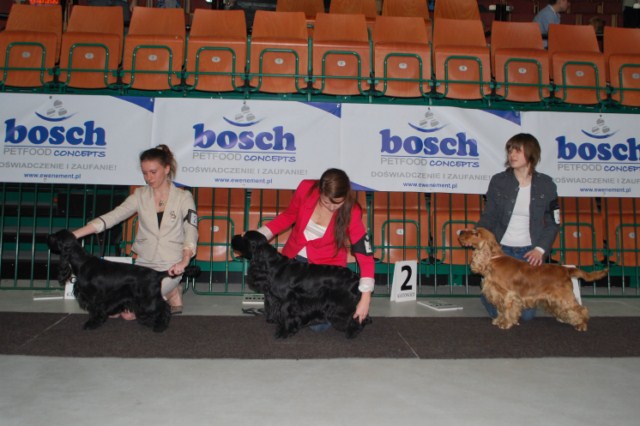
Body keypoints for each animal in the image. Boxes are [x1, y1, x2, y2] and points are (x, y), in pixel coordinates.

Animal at [48, 229, 196, 332]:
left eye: (56, 237)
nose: (47, 237)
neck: (82, 262)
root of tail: (157, 273)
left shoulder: (94, 297)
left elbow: (94, 311)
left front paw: (91, 324)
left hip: (148, 300)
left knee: (164, 307)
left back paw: (159, 326)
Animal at [231, 230, 372, 339]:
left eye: (243, 237)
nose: (232, 237)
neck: (272, 265)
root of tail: (356, 277)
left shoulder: (287, 301)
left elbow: (286, 315)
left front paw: (283, 332)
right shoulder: (275, 298)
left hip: (343, 304)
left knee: (358, 316)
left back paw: (352, 332)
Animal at [458, 227, 608, 332]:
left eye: (476, 233)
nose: (460, 232)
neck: (493, 259)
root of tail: (566, 269)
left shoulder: (508, 294)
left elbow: (507, 309)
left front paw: (505, 323)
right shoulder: (498, 294)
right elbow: (500, 309)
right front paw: (498, 321)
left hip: (564, 297)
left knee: (581, 309)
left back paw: (581, 324)